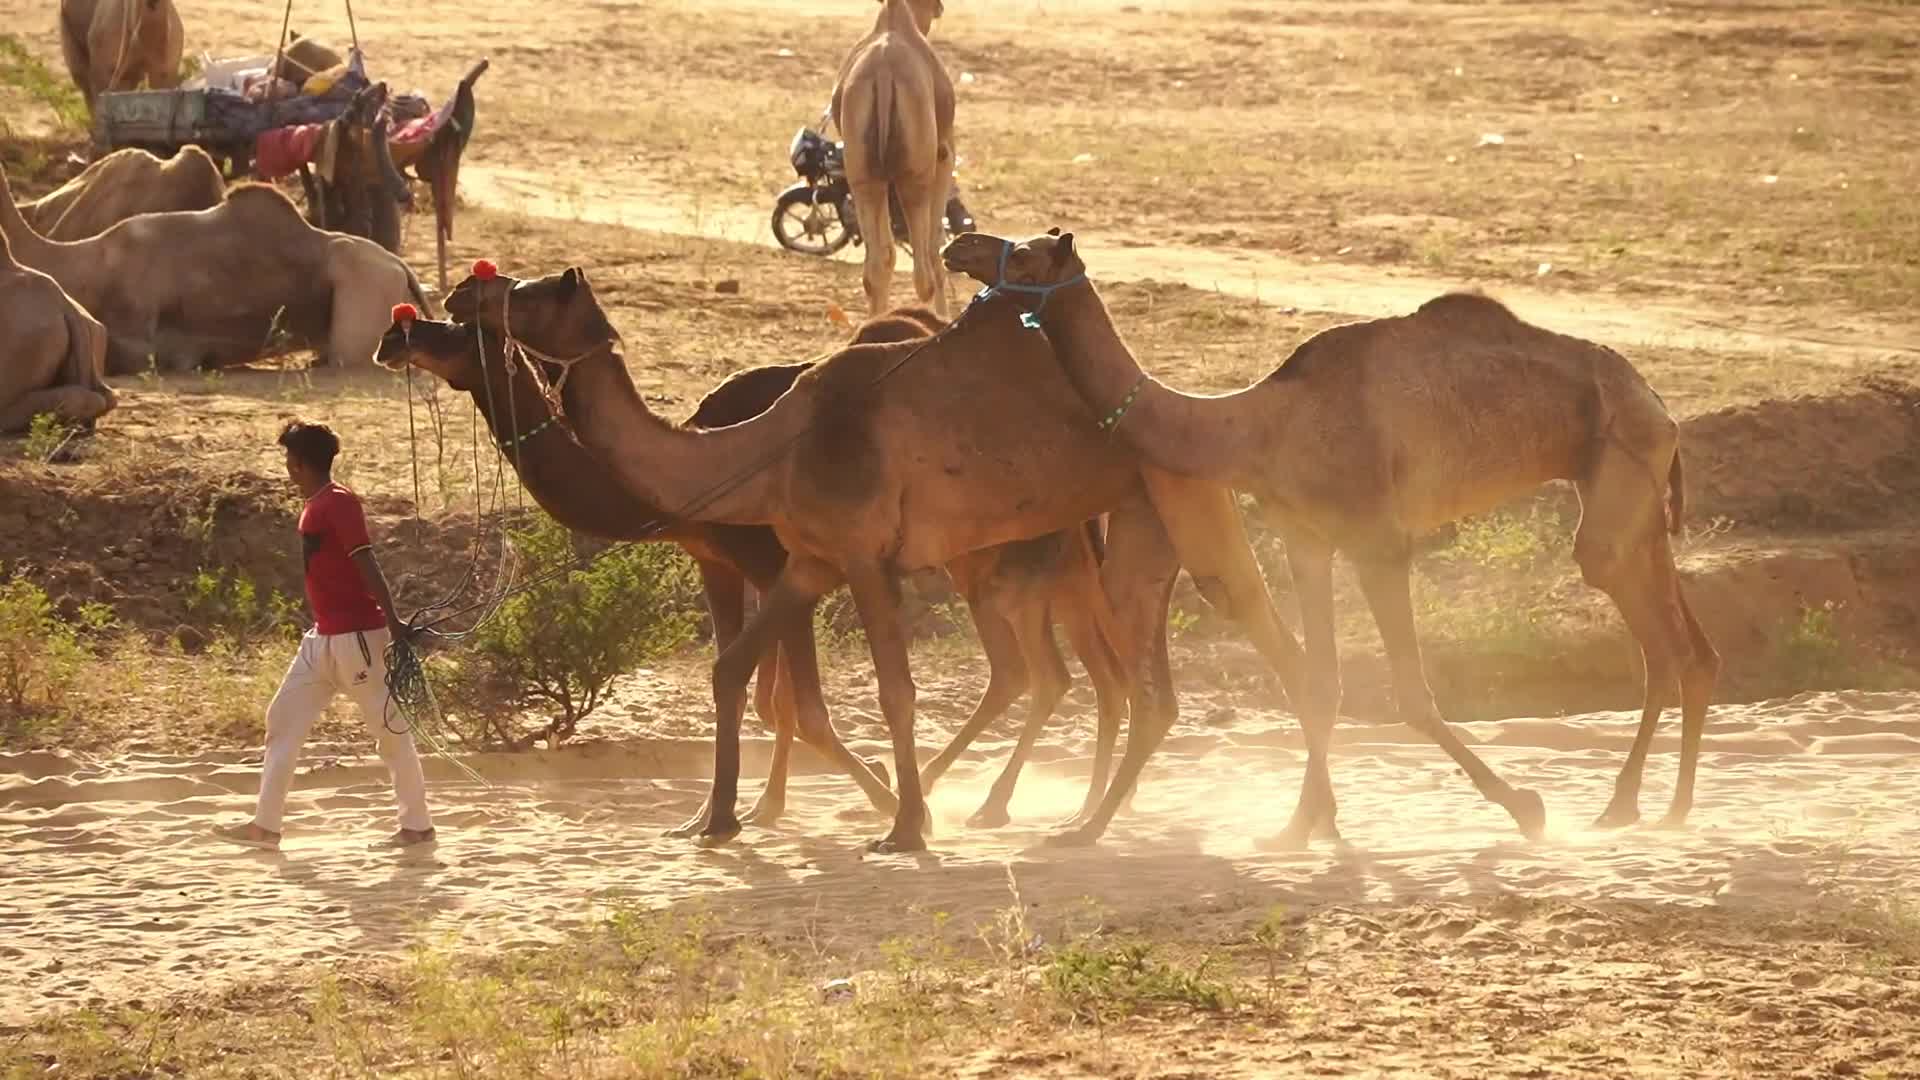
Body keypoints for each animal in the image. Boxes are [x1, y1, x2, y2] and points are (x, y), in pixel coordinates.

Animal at [437, 264, 1311, 851]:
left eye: (530, 291)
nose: (456, 296)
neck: (765, 447)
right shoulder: (808, 561)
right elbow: (738, 671)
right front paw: (715, 819)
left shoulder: (861, 555)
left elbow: (892, 691)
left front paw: (903, 825)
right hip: (1122, 530)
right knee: (1133, 678)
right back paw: (1089, 817)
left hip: (1180, 501)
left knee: (1255, 640)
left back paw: (1296, 823)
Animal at [831, 0, 955, 317]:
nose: (940, 9)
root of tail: (885, 74)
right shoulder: (944, 155)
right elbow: (936, 247)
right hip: (915, 177)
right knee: (922, 270)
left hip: (862, 176)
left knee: (877, 264)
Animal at [945, 229, 1722, 842]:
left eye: (1027, 252)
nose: (960, 246)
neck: (1255, 427)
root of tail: (1659, 401)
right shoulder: (1306, 541)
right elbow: (1322, 684)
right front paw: (1299, 827)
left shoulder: (1377, 539)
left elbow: (1408, 692)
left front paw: (1524, 808)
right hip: (1632, 491)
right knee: (1681, 642)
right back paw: (1645, 806)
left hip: (1622, 472)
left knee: (1651, 626)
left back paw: (1659, 808)